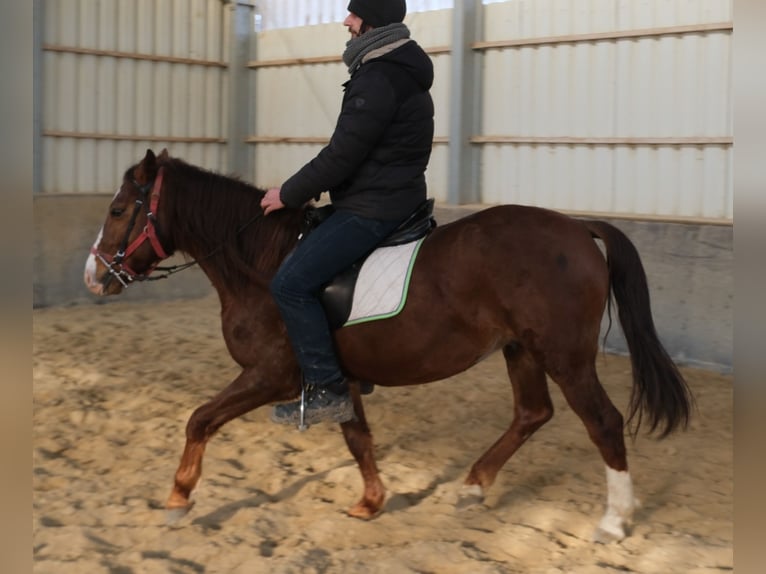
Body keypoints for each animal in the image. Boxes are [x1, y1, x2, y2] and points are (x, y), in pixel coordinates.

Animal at [84, 149, 693, 543]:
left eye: (117, 210)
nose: (93, 277)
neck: (261, 261)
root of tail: (578, 227)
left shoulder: (270, 375)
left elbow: (199, 419)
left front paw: (178, 499)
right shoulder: (335, 378)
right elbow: (358, 438)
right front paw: (370, 502)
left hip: (566, 357)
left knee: (603, 422)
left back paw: (614, 521)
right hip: (520, 350)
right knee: (531, 413)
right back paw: (473, 487)